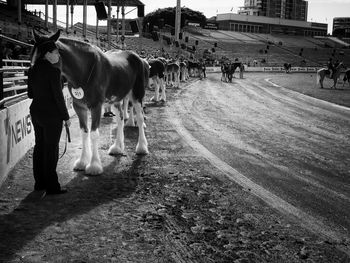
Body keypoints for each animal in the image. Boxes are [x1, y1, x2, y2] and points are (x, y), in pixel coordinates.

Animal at [30, 30, 149, 175]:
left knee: (140, 118)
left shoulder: (96, 106)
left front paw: (94, 166)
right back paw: (117, 147)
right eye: (32, 58)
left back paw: (142, 147)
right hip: (115, 99)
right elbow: (84, 132)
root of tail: (138, 58)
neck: (83, 71)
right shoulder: (79, 107)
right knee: (120, 119)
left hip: (137, 95)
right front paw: (82, 162)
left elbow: (93, 134)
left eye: (45, 61)